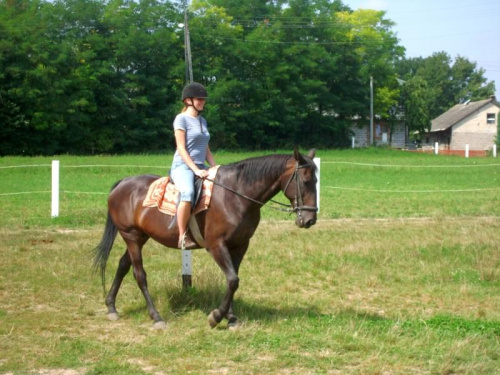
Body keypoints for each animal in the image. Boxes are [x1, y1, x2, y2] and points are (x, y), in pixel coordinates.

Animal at [92, 148, 318, 330]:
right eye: (305, 181)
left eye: (316, 181)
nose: (310, 219)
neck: (236, 195)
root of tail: (123, 183)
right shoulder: (216, 245)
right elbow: (232, 279)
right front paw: (216, 317)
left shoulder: (240, 245)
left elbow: (233, 279)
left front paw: (231, 318)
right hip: (131, 236)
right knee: (139, 275)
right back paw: (156, 317)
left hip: (140, 237)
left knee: (123, 265)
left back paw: (111, 306)